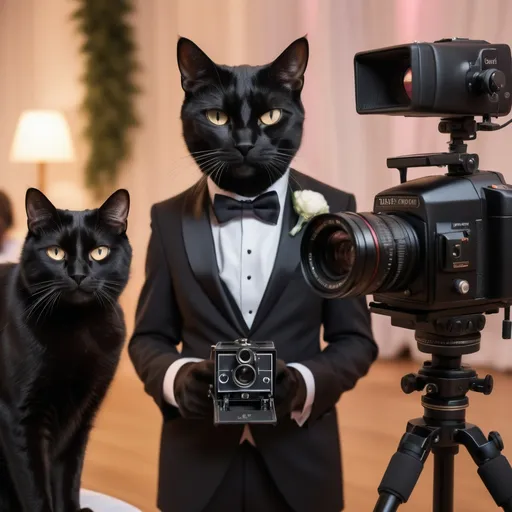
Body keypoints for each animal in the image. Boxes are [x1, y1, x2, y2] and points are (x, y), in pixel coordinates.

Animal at [0, 189, 132, 512]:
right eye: (55, 253)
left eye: (100, 252)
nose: (79, 274)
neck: (79, 328)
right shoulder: (19, 417)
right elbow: (35, 488)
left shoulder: (81, 414)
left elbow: (68, 475)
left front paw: (73, 509)